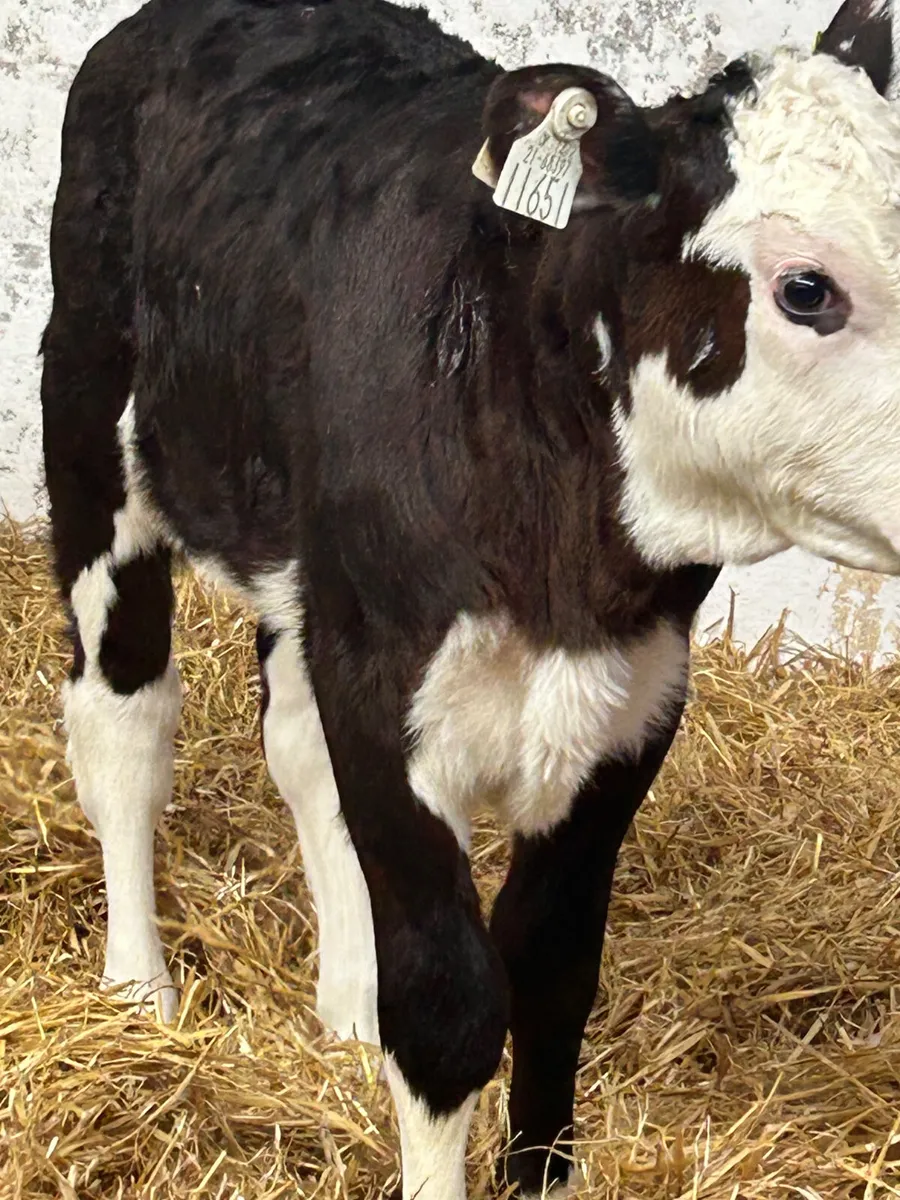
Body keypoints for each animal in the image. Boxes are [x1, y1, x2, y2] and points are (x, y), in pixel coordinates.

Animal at [40, 0, 900, 1195]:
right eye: (806, 289)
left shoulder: (634, 703)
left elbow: (552, 971)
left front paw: (538, 1168)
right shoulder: (389, 692)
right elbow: (449, 1008)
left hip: (318, 578)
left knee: (296, 746)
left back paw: (348, 1008)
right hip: (92, 432)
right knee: (121, 723)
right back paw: (139, 990)